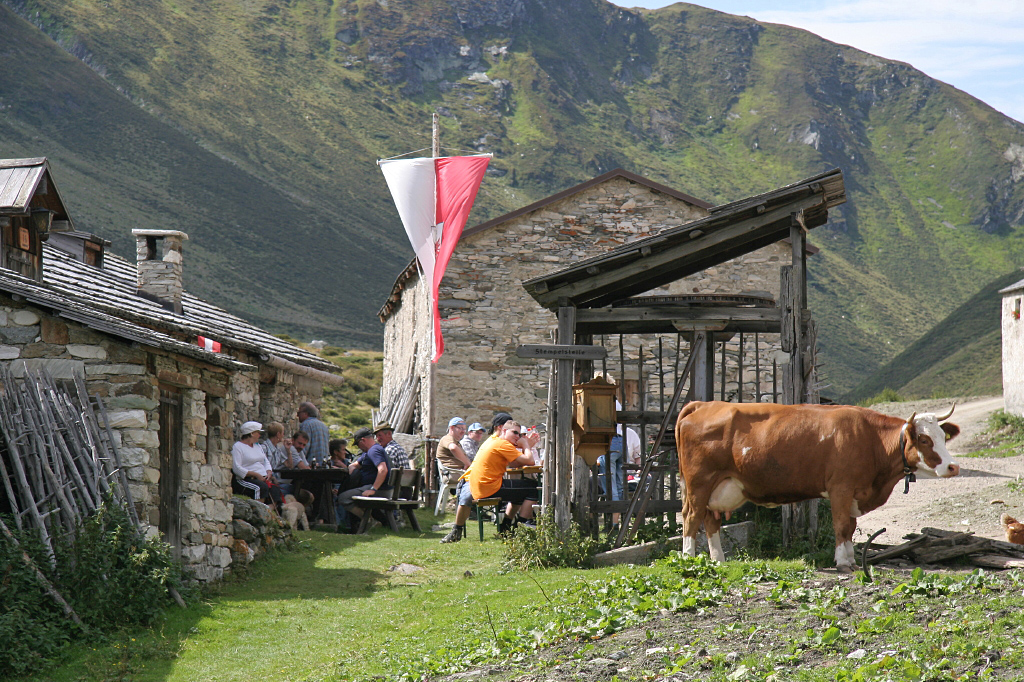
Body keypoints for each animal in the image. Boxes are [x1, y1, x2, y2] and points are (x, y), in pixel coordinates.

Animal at [675, 399, 954, 569]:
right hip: (699, 482)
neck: (870, 438)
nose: (953, 466)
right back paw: (688, 558)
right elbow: (841, 525)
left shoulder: (853, 492)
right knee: (691, 517)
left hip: (719, 486)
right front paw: (842, 562)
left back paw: (718, 560)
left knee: (710, 519)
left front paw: (852, 559)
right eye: (924, 439)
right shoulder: (841, 487)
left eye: (943, 436)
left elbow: (851, 527)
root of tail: (705, 404)